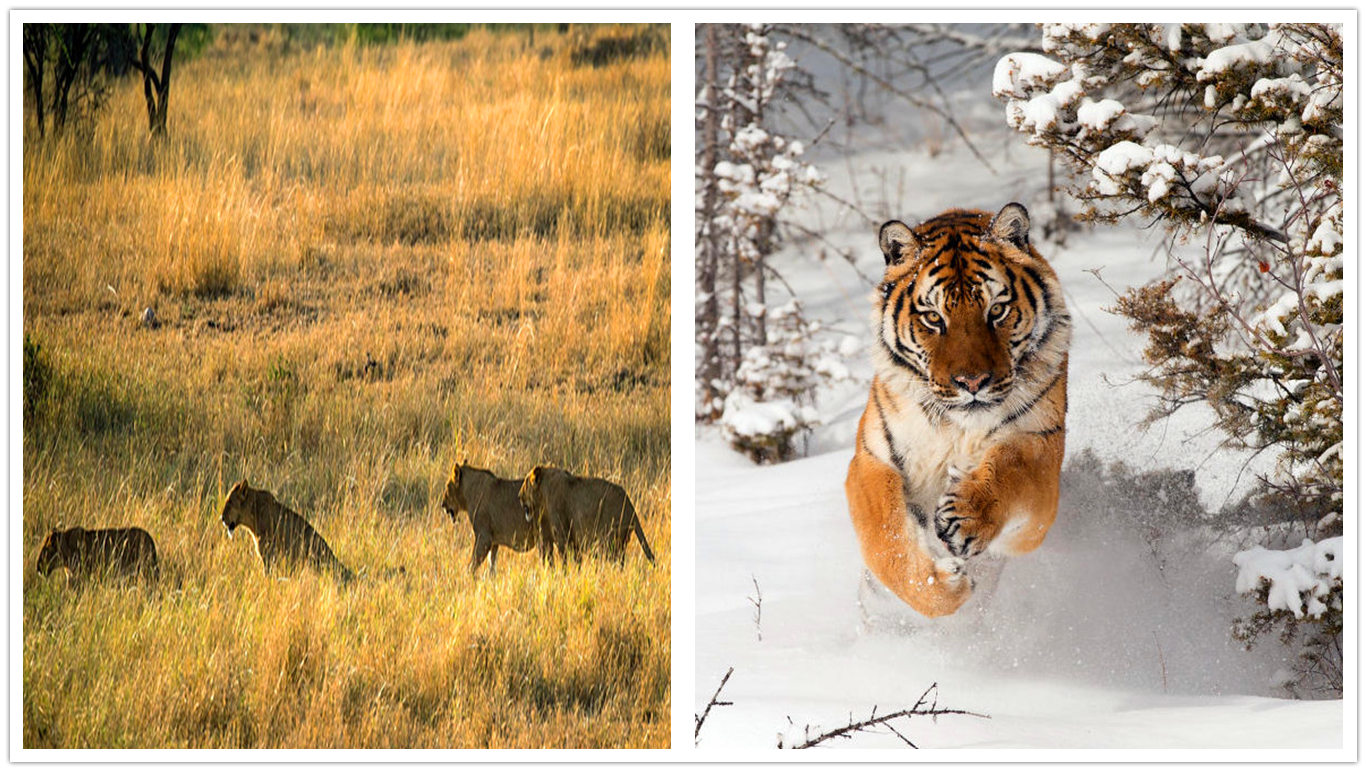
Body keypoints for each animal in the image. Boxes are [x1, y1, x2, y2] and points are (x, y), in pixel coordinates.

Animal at [845, 203, 1070, 618]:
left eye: (997, 310)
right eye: (934, 318)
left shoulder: (1041, 450)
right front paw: (942, 584)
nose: (972, 381)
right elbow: (886, 539)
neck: (957, 427)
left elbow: (1013, 468)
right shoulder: (871, 458)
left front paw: (965, 516)